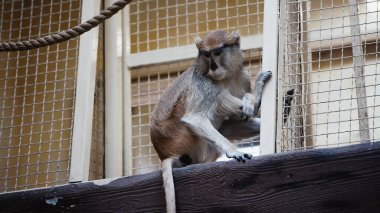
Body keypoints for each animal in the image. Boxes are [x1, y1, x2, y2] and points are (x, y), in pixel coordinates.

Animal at [149, 30, 274, 213]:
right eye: (206, 55)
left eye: (217, 53)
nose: (213, 67)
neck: (227, 76)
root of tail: (164, 153)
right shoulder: (204, 82)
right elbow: (194, 118)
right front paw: (234, 152)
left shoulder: (242, 77)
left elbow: (239, 117)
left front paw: (250, 100)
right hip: (181, 137)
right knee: (218, 95)